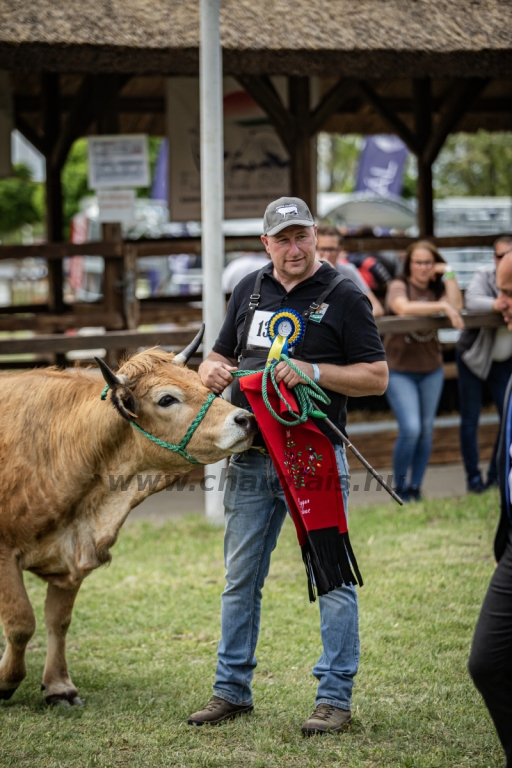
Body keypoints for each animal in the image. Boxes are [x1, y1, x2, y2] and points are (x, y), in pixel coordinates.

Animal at [0, 328, 255, 704]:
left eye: (203, 383)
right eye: (167, 399)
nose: (245, 419)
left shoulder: (71, 553)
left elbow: (58, 621)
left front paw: (59, 685)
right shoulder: (5, 555)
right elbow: (20, 623)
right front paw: (7, 680)